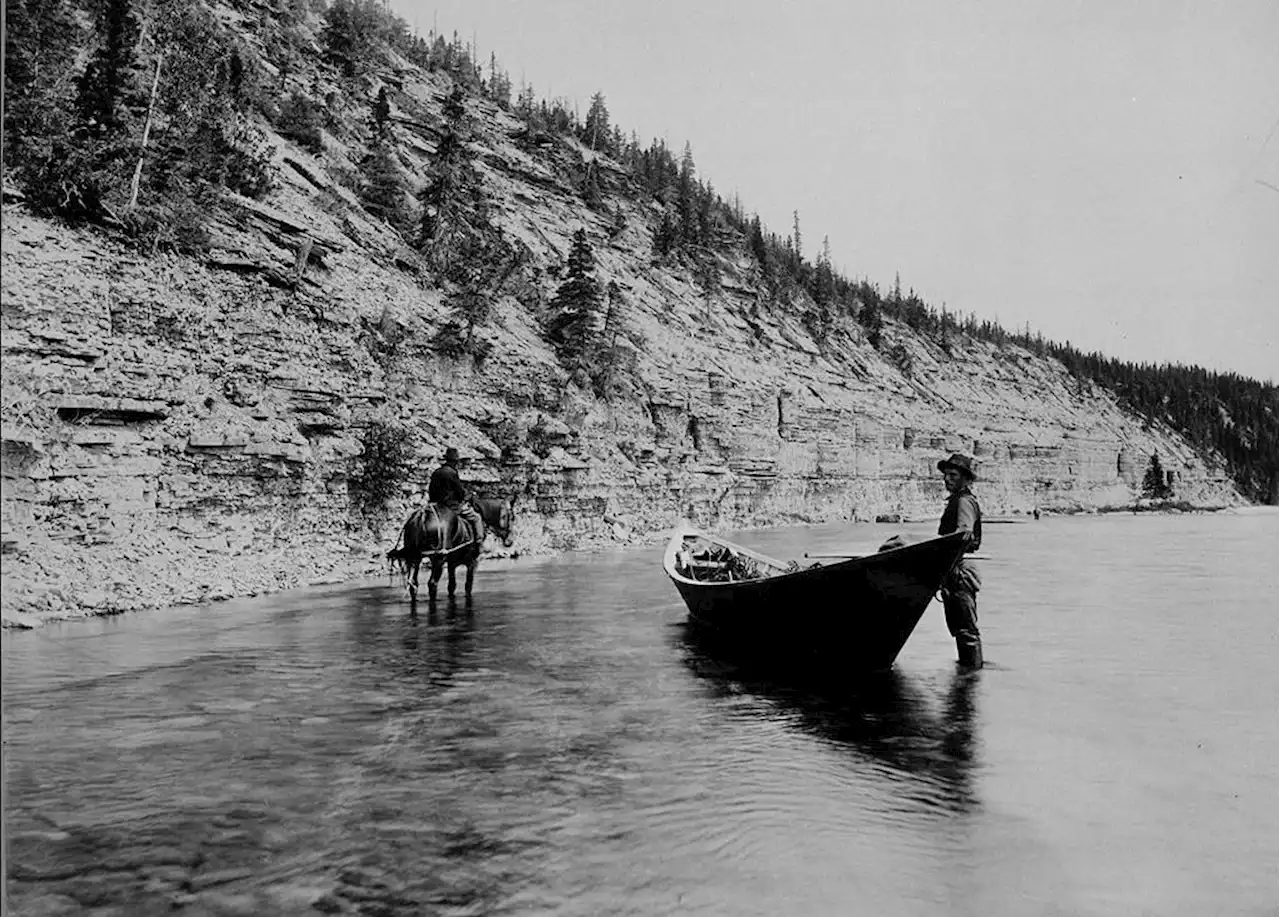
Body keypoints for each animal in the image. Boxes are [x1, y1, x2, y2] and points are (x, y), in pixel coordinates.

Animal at [386, 494, 517, 601]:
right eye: (511, 517)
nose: (510, 541)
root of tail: (422, 515)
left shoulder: (451, 563)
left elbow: (451, 586)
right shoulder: (472, 562)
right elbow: (468, 586)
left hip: (414, 558)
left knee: (414, 584)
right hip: (438, 559)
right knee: (432, 584)